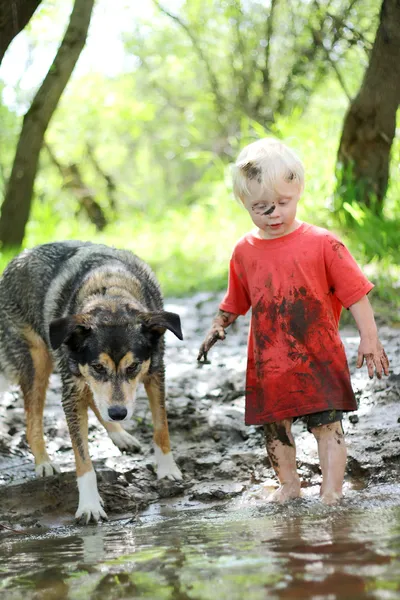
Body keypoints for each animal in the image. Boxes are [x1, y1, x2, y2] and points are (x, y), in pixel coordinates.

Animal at [0, 241, 183, 524]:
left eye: (133, 367)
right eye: (98, 366)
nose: (119, 413)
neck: (111, 296)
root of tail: (18, 257)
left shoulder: (155, 373)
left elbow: (161, 426)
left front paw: (167, 469)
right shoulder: (72, 391)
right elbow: (82, 456)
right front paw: (89, 505)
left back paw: (120, 435)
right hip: (37, 363)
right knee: (32, 420)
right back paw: (44, 462)